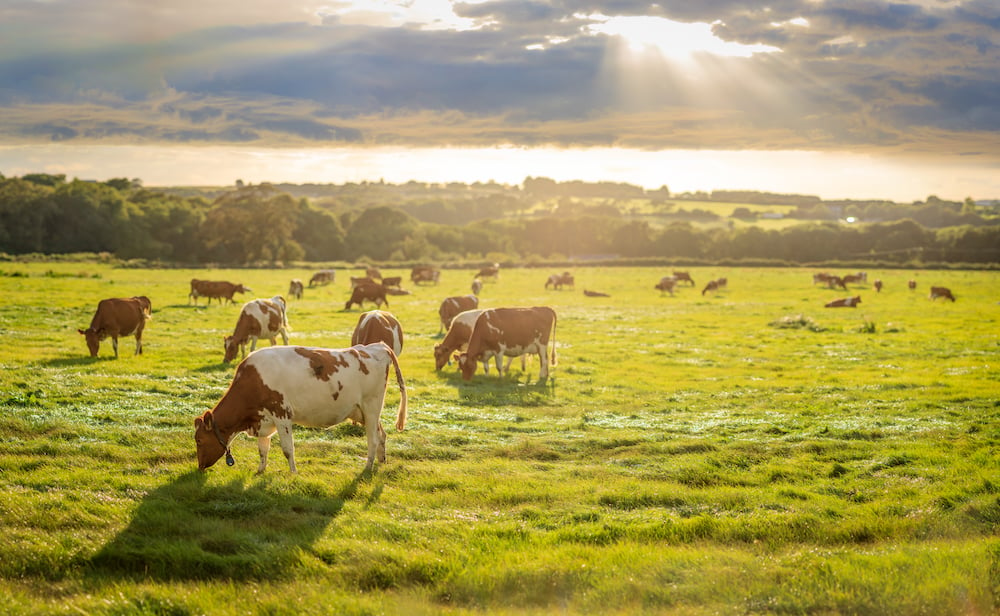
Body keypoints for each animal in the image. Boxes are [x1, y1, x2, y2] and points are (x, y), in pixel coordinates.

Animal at [195, 344, 406, 474]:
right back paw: (382, 461)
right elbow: (263, 449)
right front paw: (260, 470)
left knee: (373, 439)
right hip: (363, 412)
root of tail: (375, 346)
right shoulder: (263, 420)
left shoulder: (281, 414)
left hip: (371, 407)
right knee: (382, 434)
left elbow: (288, 449)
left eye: (198, 440)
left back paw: (368, 467)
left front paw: (293, 473)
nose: (200, 466)